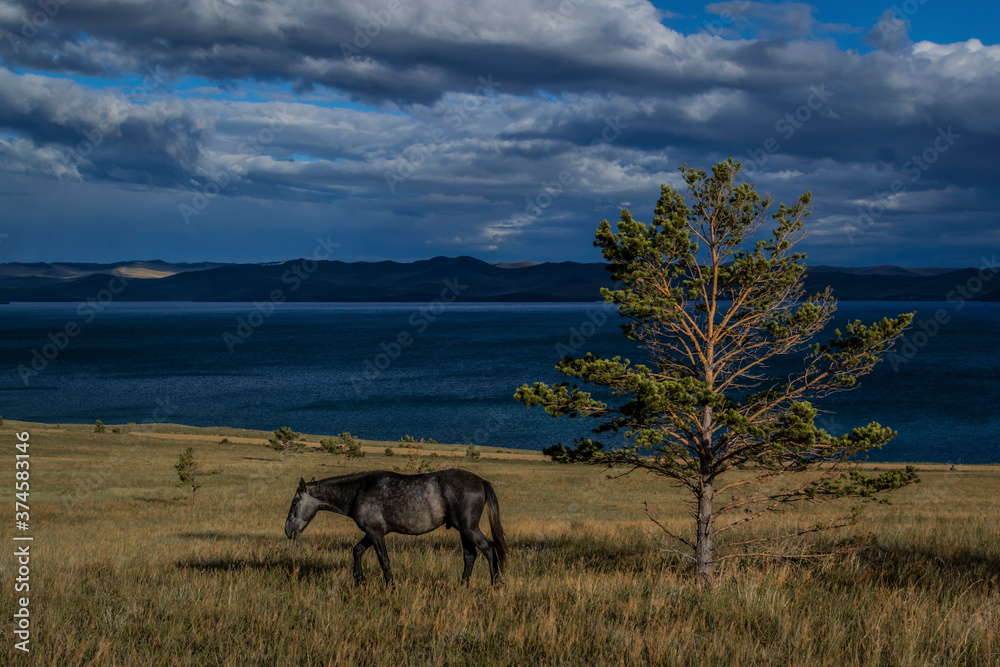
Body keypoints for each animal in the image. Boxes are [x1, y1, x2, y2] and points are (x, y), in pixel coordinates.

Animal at [284, 468, 507, 587]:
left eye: (294, 503)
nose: (288, 531)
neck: (359, 491)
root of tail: (480, 481)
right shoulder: (371, 532)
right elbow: (357, 551)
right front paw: (359, 581)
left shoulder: (375, 533)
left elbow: (384, 560)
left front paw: (390, 586)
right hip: (463, 530)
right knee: (470, 556)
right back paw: (463, 586)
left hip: (469, 528)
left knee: (488, 548)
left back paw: (496, 585)